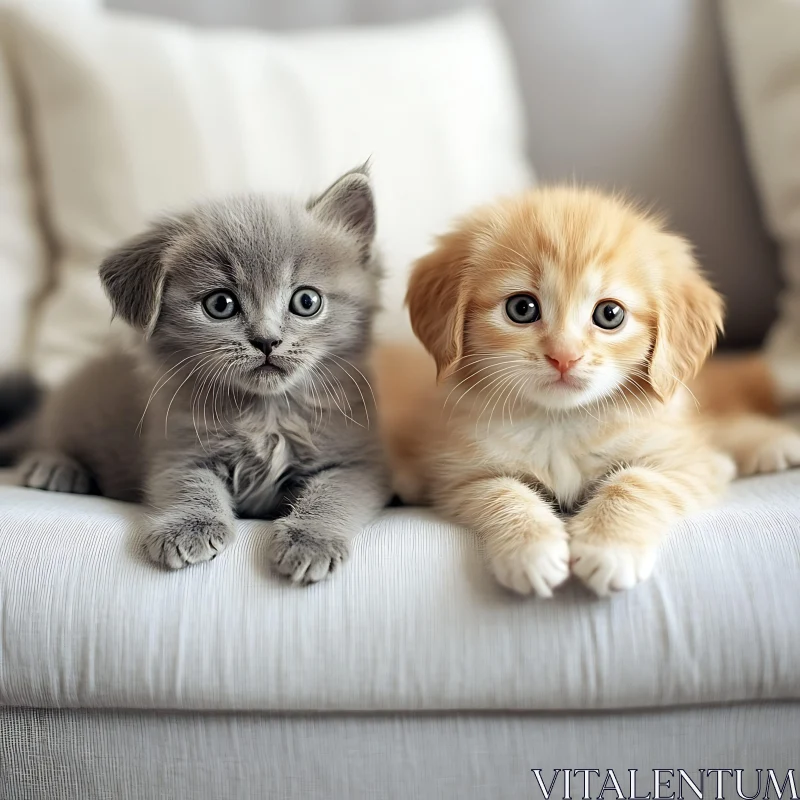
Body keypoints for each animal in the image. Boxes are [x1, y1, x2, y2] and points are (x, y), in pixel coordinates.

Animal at [17, 167, 392, 580]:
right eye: (220, 304)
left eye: (306, 301)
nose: (267, 341)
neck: (266, 413)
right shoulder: (176, 450)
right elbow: (188, 485)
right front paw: (188, 528)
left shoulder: (358, 463)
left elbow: (333, 495)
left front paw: (311, 539)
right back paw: (53, 468)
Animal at [390, 189, 752, 592]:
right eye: (522, 308)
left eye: (610, 314)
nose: (564, 356)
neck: (558, 422)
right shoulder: (460, 478)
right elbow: (502, 492)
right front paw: (531, 549)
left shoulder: (686, 465)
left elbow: (637, 481)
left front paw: (608, 547)